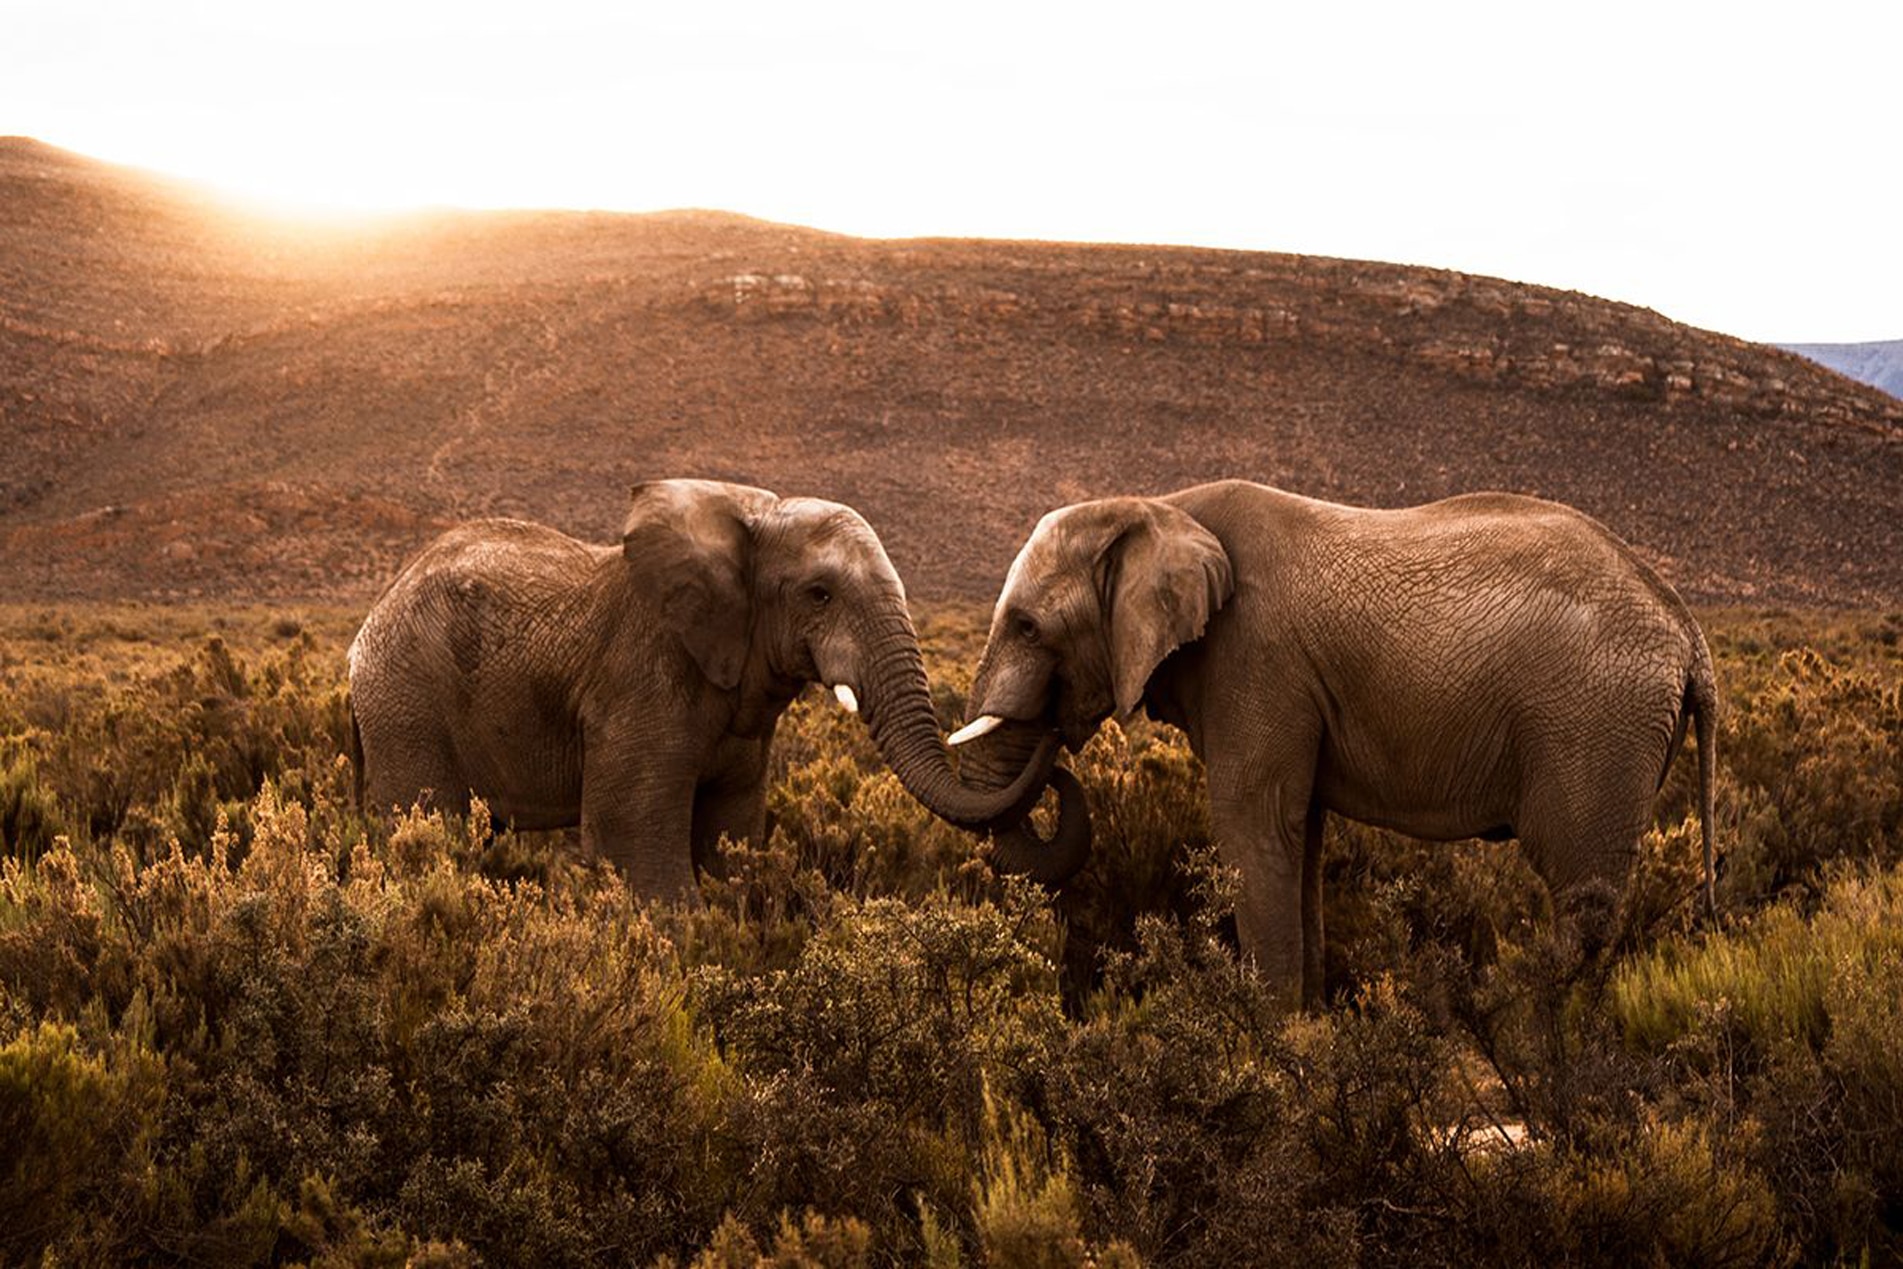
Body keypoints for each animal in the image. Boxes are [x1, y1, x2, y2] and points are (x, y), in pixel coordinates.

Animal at [348, 479, 1083, 900]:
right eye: (819, 593)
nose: (1056, 748)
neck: (750, 521)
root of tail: (363, 635)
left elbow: (729, 836)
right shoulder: (641, 679)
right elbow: (634, 847)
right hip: (407, 706)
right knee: (427, 829)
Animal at [949, 479, 1718, 1006]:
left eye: (1026, 627)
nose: (1057, 757)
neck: (1159, 506)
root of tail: (1688, 631)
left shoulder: (1256, 662)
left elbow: (1254, 827)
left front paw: (1270, 1044)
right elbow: (1302, 840)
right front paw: (1309, 1025)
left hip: (1592, 718)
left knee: (1583, 901)